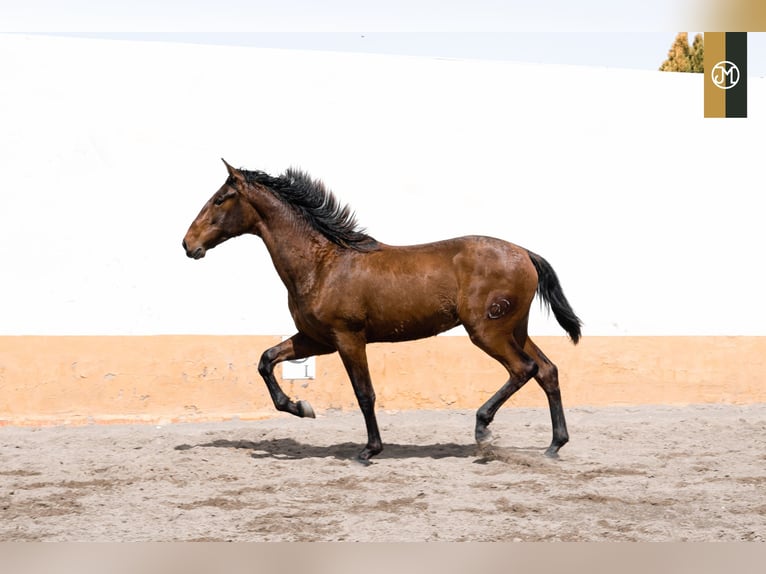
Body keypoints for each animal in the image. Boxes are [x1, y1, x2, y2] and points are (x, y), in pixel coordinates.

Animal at [184, 160, 584, 466]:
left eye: (219, 200)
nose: (188, 244)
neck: (322, 264)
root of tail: (525, 253)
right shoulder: (316, 338)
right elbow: (266, 359)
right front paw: (301, 407)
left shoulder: (348, 338)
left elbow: (365, 393)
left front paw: (369, 451)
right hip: (514, 330)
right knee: (547, 370)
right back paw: (554, 445)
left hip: (488, 331)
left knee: (524, 369)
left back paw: (483, 429)